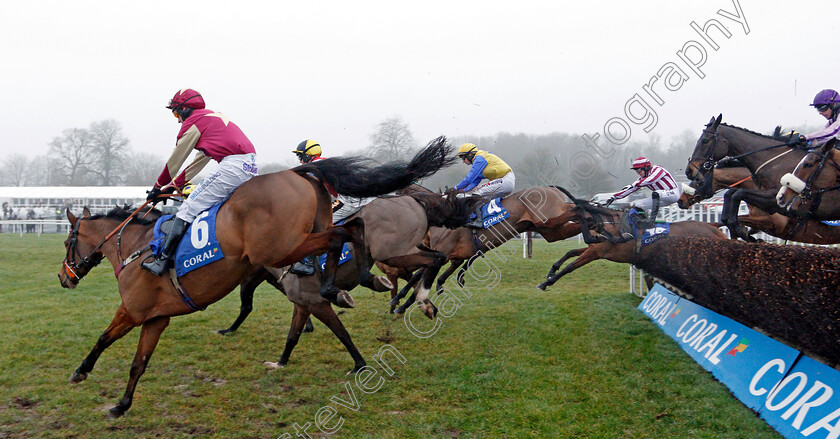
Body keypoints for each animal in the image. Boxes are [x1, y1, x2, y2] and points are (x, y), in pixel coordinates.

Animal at [57, 138, 460, 420]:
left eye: (67, 242)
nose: (64, 277)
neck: (137, 247)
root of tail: (298, 174)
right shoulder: (156, 318)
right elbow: (138, 363)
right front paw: (121, 405)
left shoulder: (133, 310)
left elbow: (103, 338)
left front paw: (80, 372)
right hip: (300, 243)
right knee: (356, 231)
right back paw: (373, 286)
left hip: (283, 249)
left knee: (357, 241)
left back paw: (390, 292)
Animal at [540, 186, 728, 292]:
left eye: (571, 212)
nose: (548, 223)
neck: (609, 223)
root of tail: (713, 226)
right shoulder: (595, 247)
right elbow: (571, 252)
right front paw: (551, 271)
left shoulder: (596, 252)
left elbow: (570, 267)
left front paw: (546, 282)